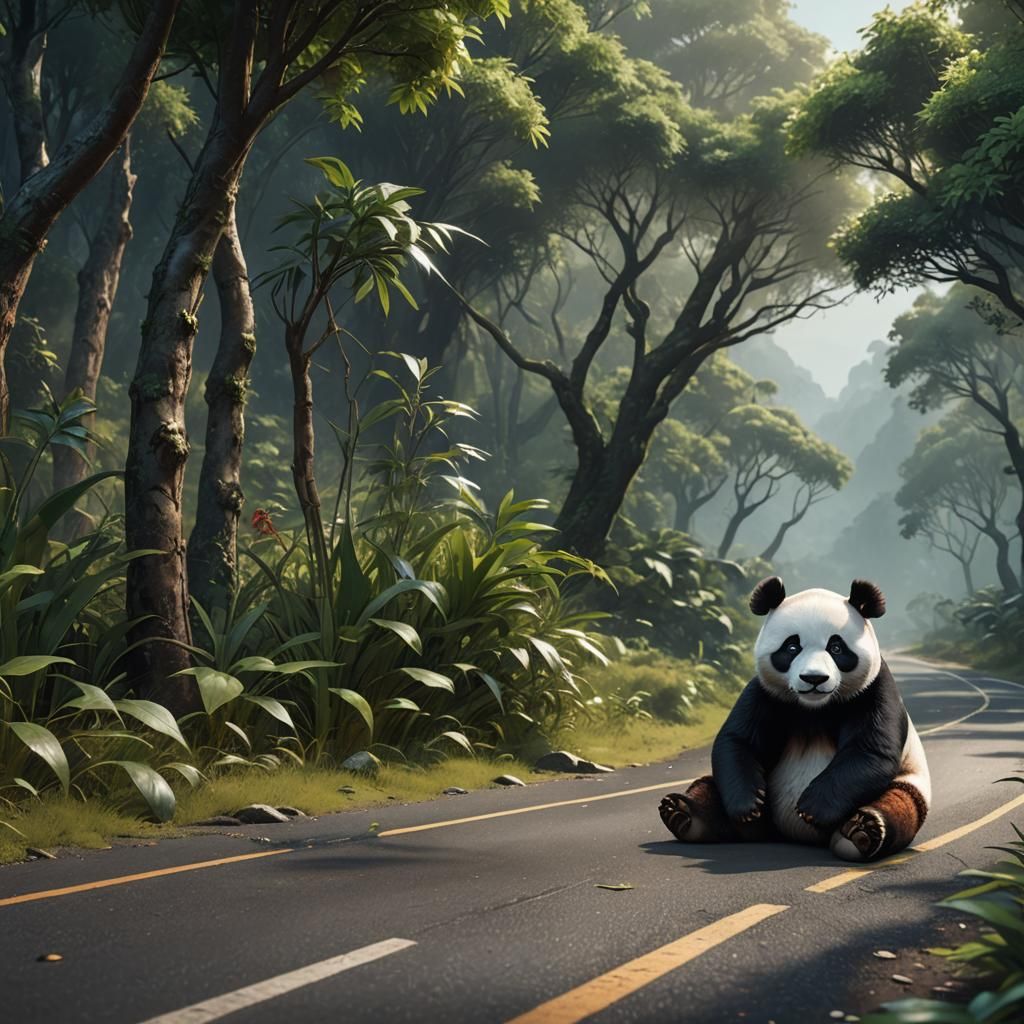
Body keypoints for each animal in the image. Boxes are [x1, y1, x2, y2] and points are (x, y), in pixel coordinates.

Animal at [658, 576, 930, 862]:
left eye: (836, 648)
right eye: (792, 647)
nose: (814, 678)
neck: (814, 708)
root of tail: (790, 836)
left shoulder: (873, 691)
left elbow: (869, 748)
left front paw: (813, 808)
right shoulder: (766, 694)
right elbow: (739, 741)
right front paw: (747, 805)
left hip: (905, 782)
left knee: (900, 802)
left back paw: (861, 830)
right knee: (710, 788)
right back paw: (683, 813)